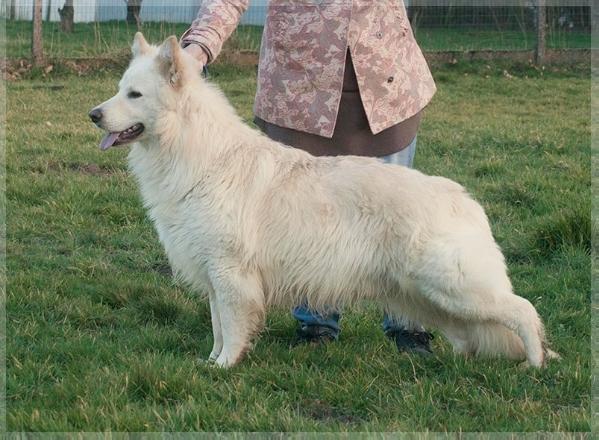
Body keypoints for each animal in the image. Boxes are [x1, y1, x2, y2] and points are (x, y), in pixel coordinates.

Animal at [89, 34, 556, 370]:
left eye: (134, 95)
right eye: (119, 90)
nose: (93, 114)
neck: (198, 154)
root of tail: (466, 201)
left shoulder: (230, 275)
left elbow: (232, 328)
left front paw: (223, 367)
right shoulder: (214, 278)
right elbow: (218, 327)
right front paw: (210, 362)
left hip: (455, 288)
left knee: (523, 310)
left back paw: (533, 365)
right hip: (435, 297)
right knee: (471, 329)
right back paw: (463, 361)